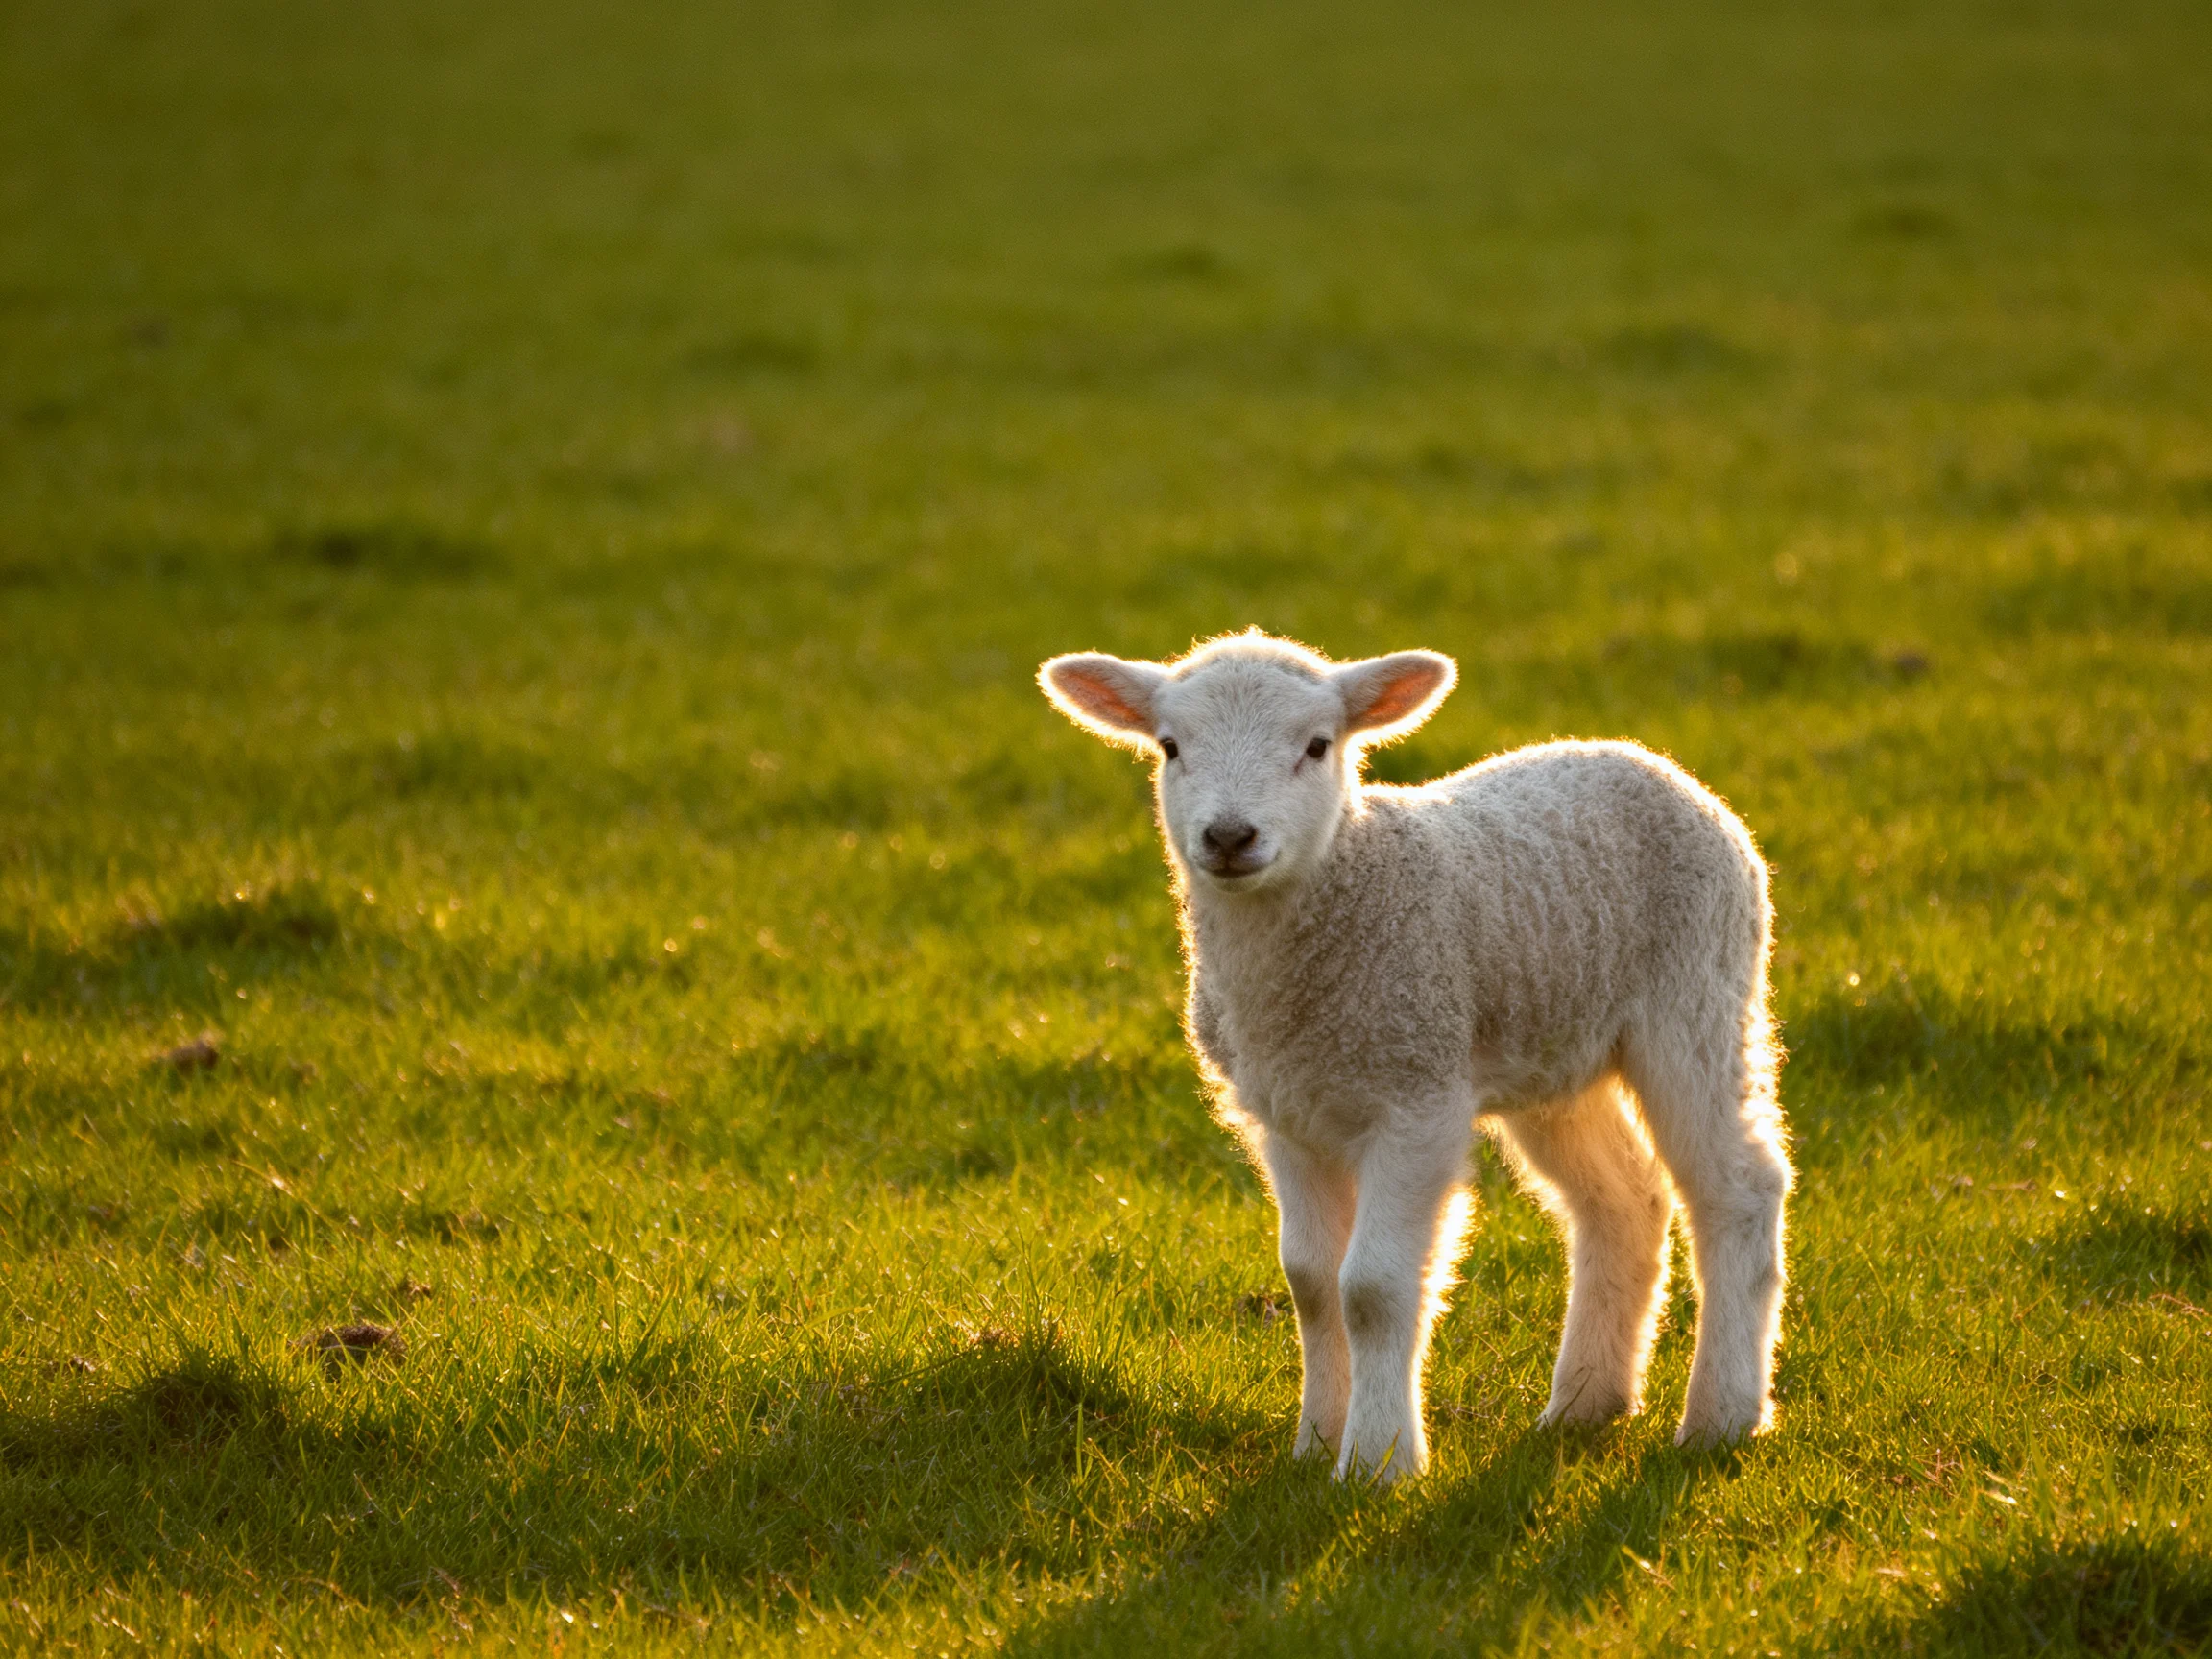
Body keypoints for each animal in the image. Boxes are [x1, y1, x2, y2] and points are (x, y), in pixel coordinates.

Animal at [1039, 630, 1791, 1481]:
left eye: (1317, 746)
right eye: (1170, 747)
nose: (1229, 838)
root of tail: (1644, 758)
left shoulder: (1416, 1097)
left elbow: (1371, 1288)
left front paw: (1377, 1461)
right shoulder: (1288, 1116)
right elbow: (1311, 1284)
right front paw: (1315, 1444)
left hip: (1699, 996)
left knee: (1739, 1188)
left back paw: (1722, 1416)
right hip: (1555, 1051)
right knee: (1624, 1200)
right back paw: (1585, 1404)